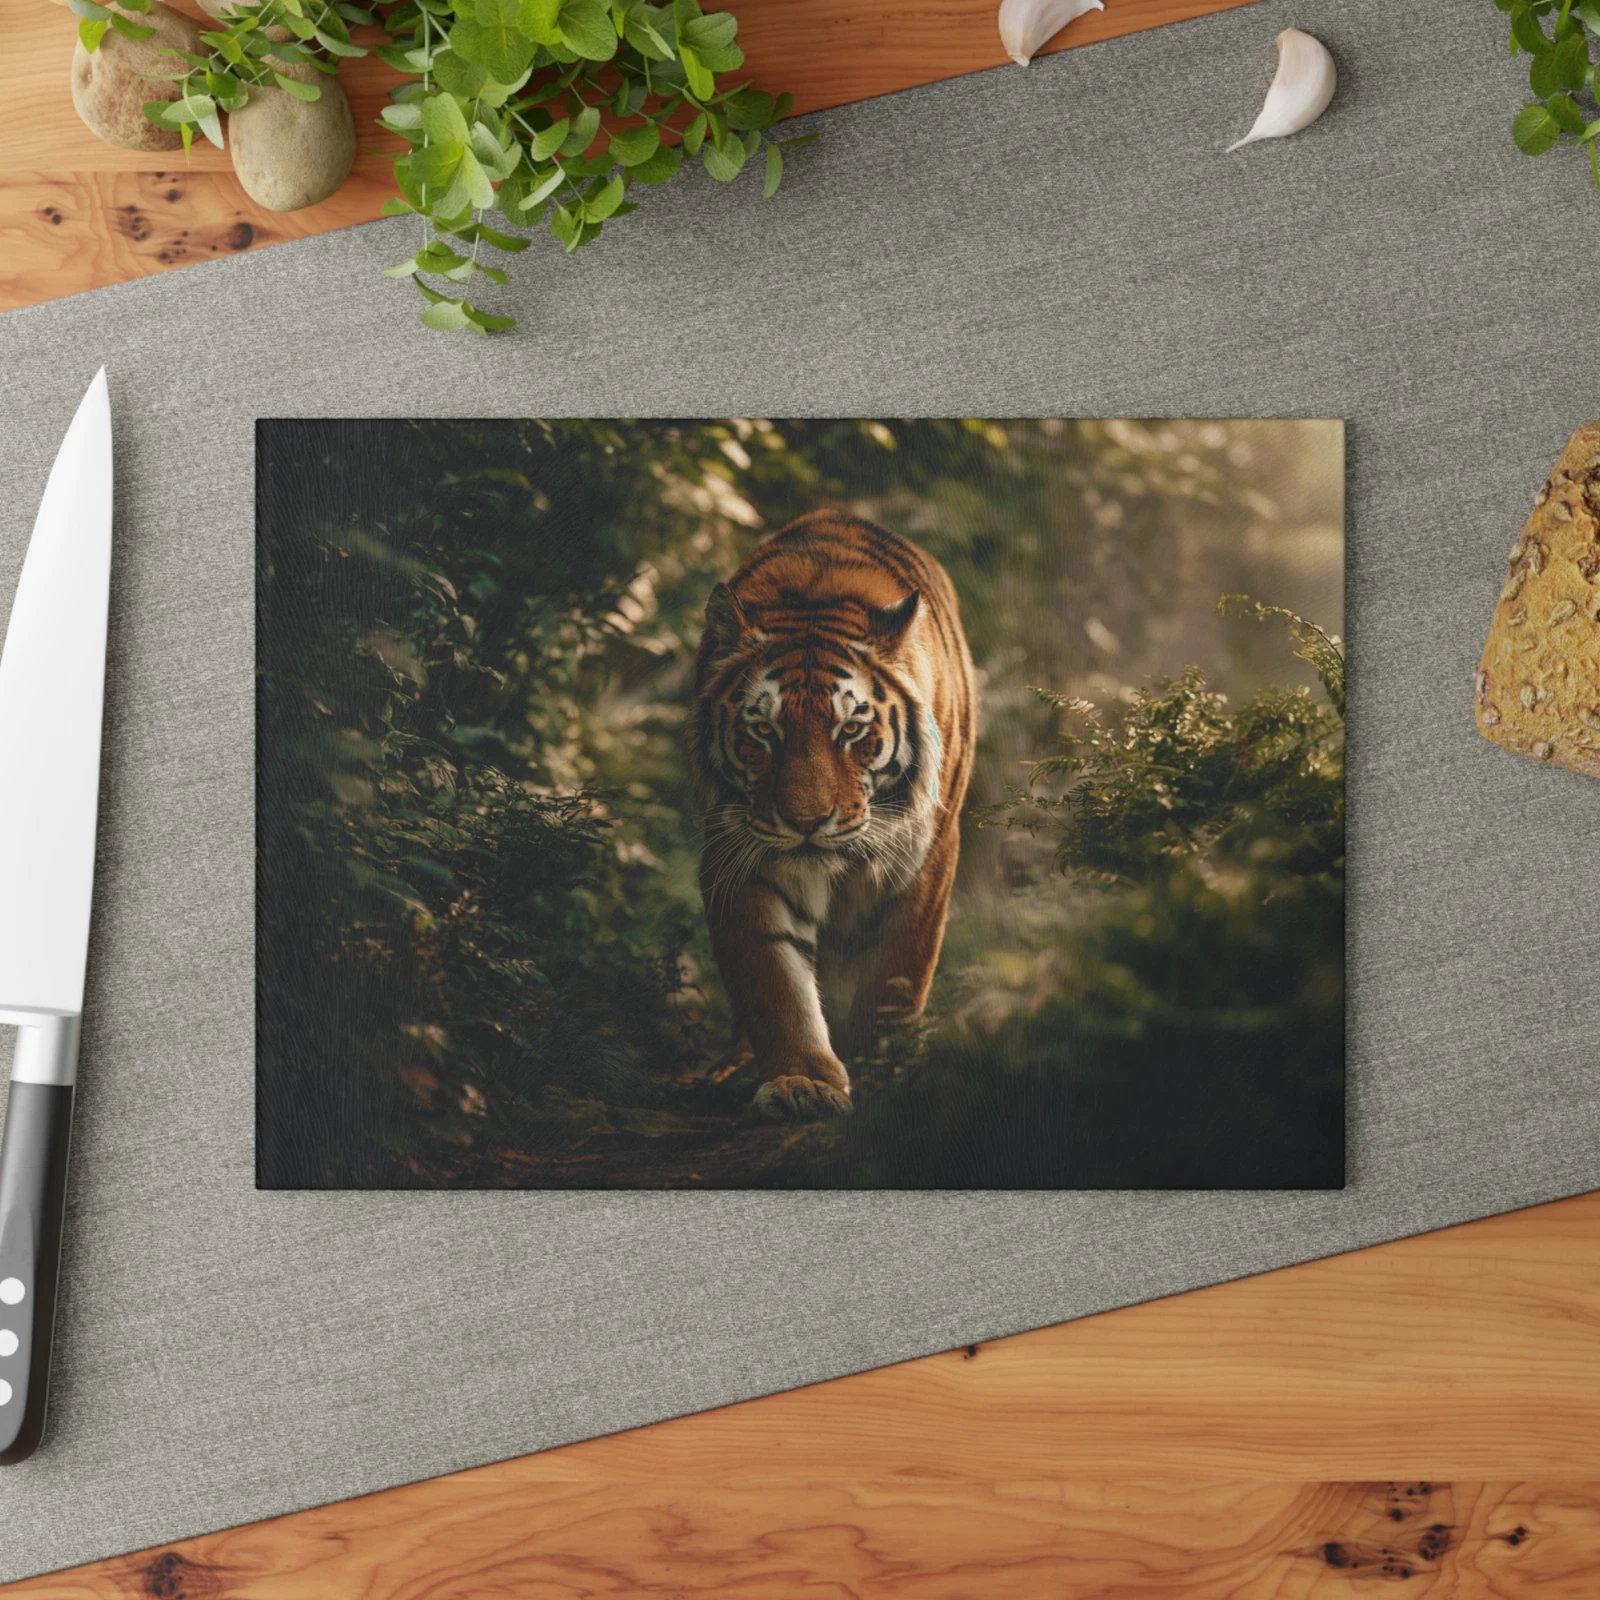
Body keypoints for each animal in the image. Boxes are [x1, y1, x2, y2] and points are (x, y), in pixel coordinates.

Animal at [689, 510, 977, 1121]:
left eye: (851, 730)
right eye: (763, 731)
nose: (806, 822)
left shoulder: (924, 858)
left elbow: (894, 978)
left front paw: (881, 1076)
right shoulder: (738, 857)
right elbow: (774, 980)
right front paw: (802, 1082)